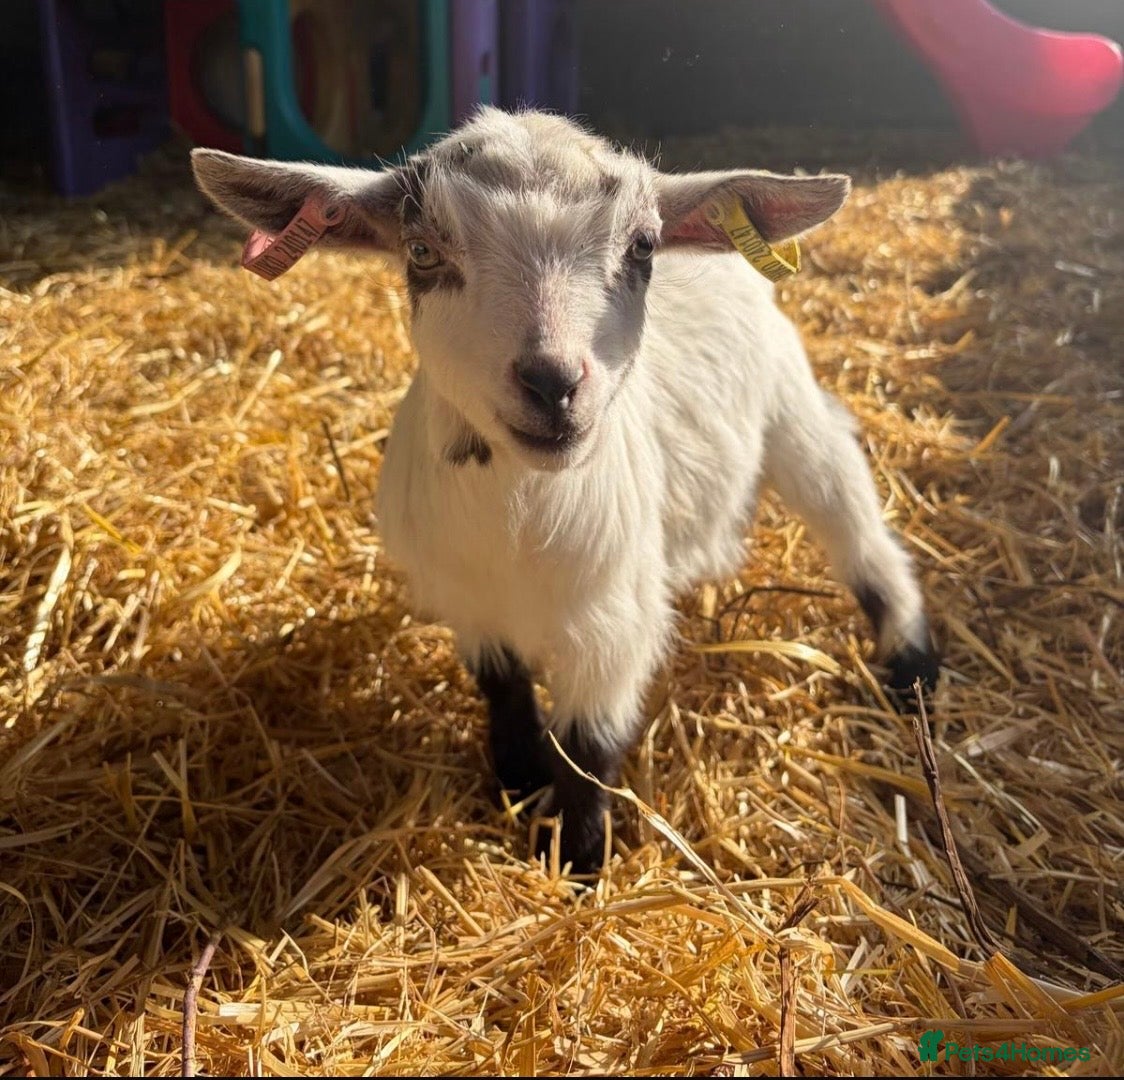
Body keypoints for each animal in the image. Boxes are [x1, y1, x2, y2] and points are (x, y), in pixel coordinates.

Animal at [193, 108, 939, 876]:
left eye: (642, 246)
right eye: (422, 250)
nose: (552, 383)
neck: (519, 515)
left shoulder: (612, 622)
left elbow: (588, 747)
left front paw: (579, 861)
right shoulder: (470, 600)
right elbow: (504, 690)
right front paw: (516, 782)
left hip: (791, 408)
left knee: (852, 518)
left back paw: (909, 665)